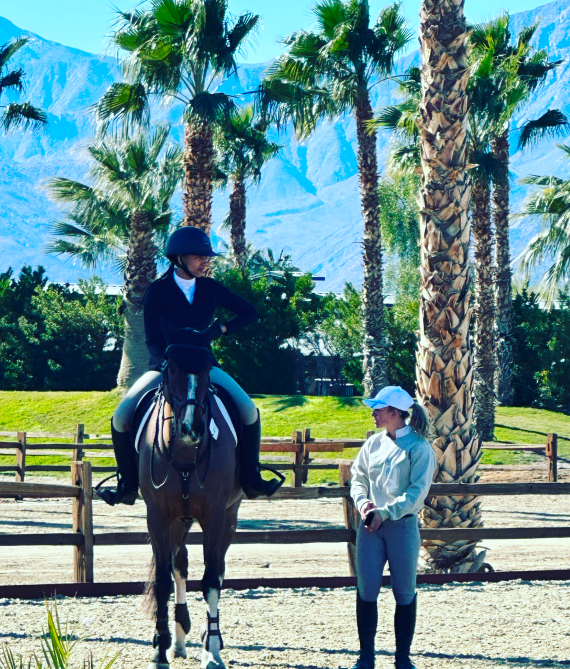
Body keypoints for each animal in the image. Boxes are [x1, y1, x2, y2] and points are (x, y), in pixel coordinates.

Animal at [138, 330, 244, 668]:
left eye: (209, 369)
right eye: (171, 369)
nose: (191, 428)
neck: (184, 454)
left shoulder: (215, 517)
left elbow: (211, 580)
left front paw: (211, 652)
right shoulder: (158, 517)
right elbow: (163, 581)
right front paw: (160, 650)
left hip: (229, 517)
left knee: (218, 570)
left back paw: (210, 638)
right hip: (179, 521)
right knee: (179, 565)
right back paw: (179, 639)